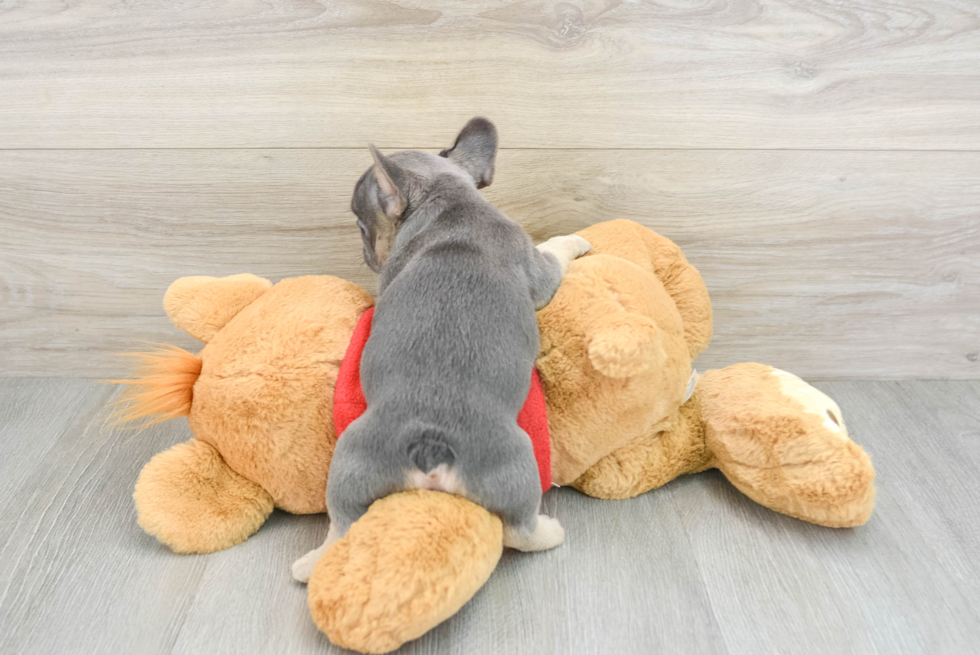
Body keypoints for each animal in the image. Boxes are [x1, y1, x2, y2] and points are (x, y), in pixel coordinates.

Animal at [290, 118, 588, 584]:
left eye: (359, 223)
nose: (364, 252)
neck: (449, 200)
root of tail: (431, 444)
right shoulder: (538, 268)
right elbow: (554, 250)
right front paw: (574, 240)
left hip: (350, 465)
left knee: (341, 524)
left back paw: (309, 564)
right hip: (514, 465)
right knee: (519, 531)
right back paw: (549, 531)